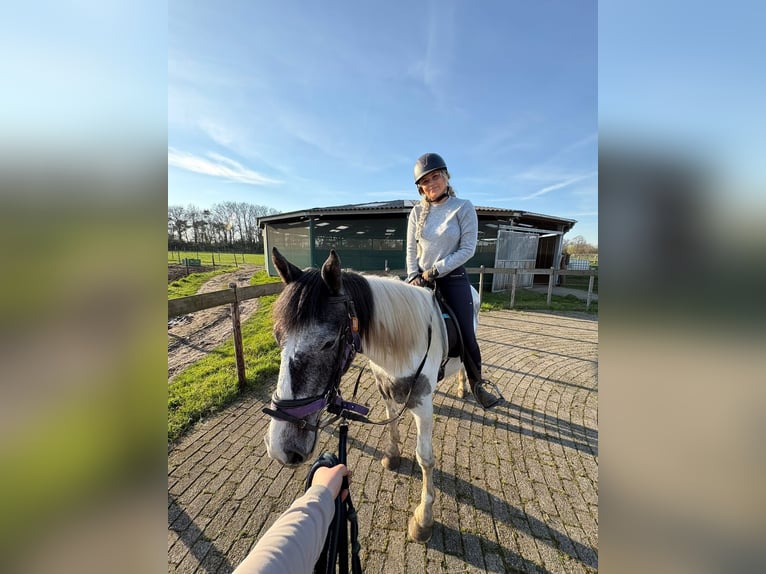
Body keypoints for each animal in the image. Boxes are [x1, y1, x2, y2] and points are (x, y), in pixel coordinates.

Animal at [263, 247, 477, 543]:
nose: (281, 448)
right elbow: (392, 425)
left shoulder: (422, 405)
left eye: (329, 342)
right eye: (276, 336)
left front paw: (424, 519)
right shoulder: (385, 388)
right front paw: (393, 456)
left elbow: (425, 458)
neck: (403, 343)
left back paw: (466, 388)